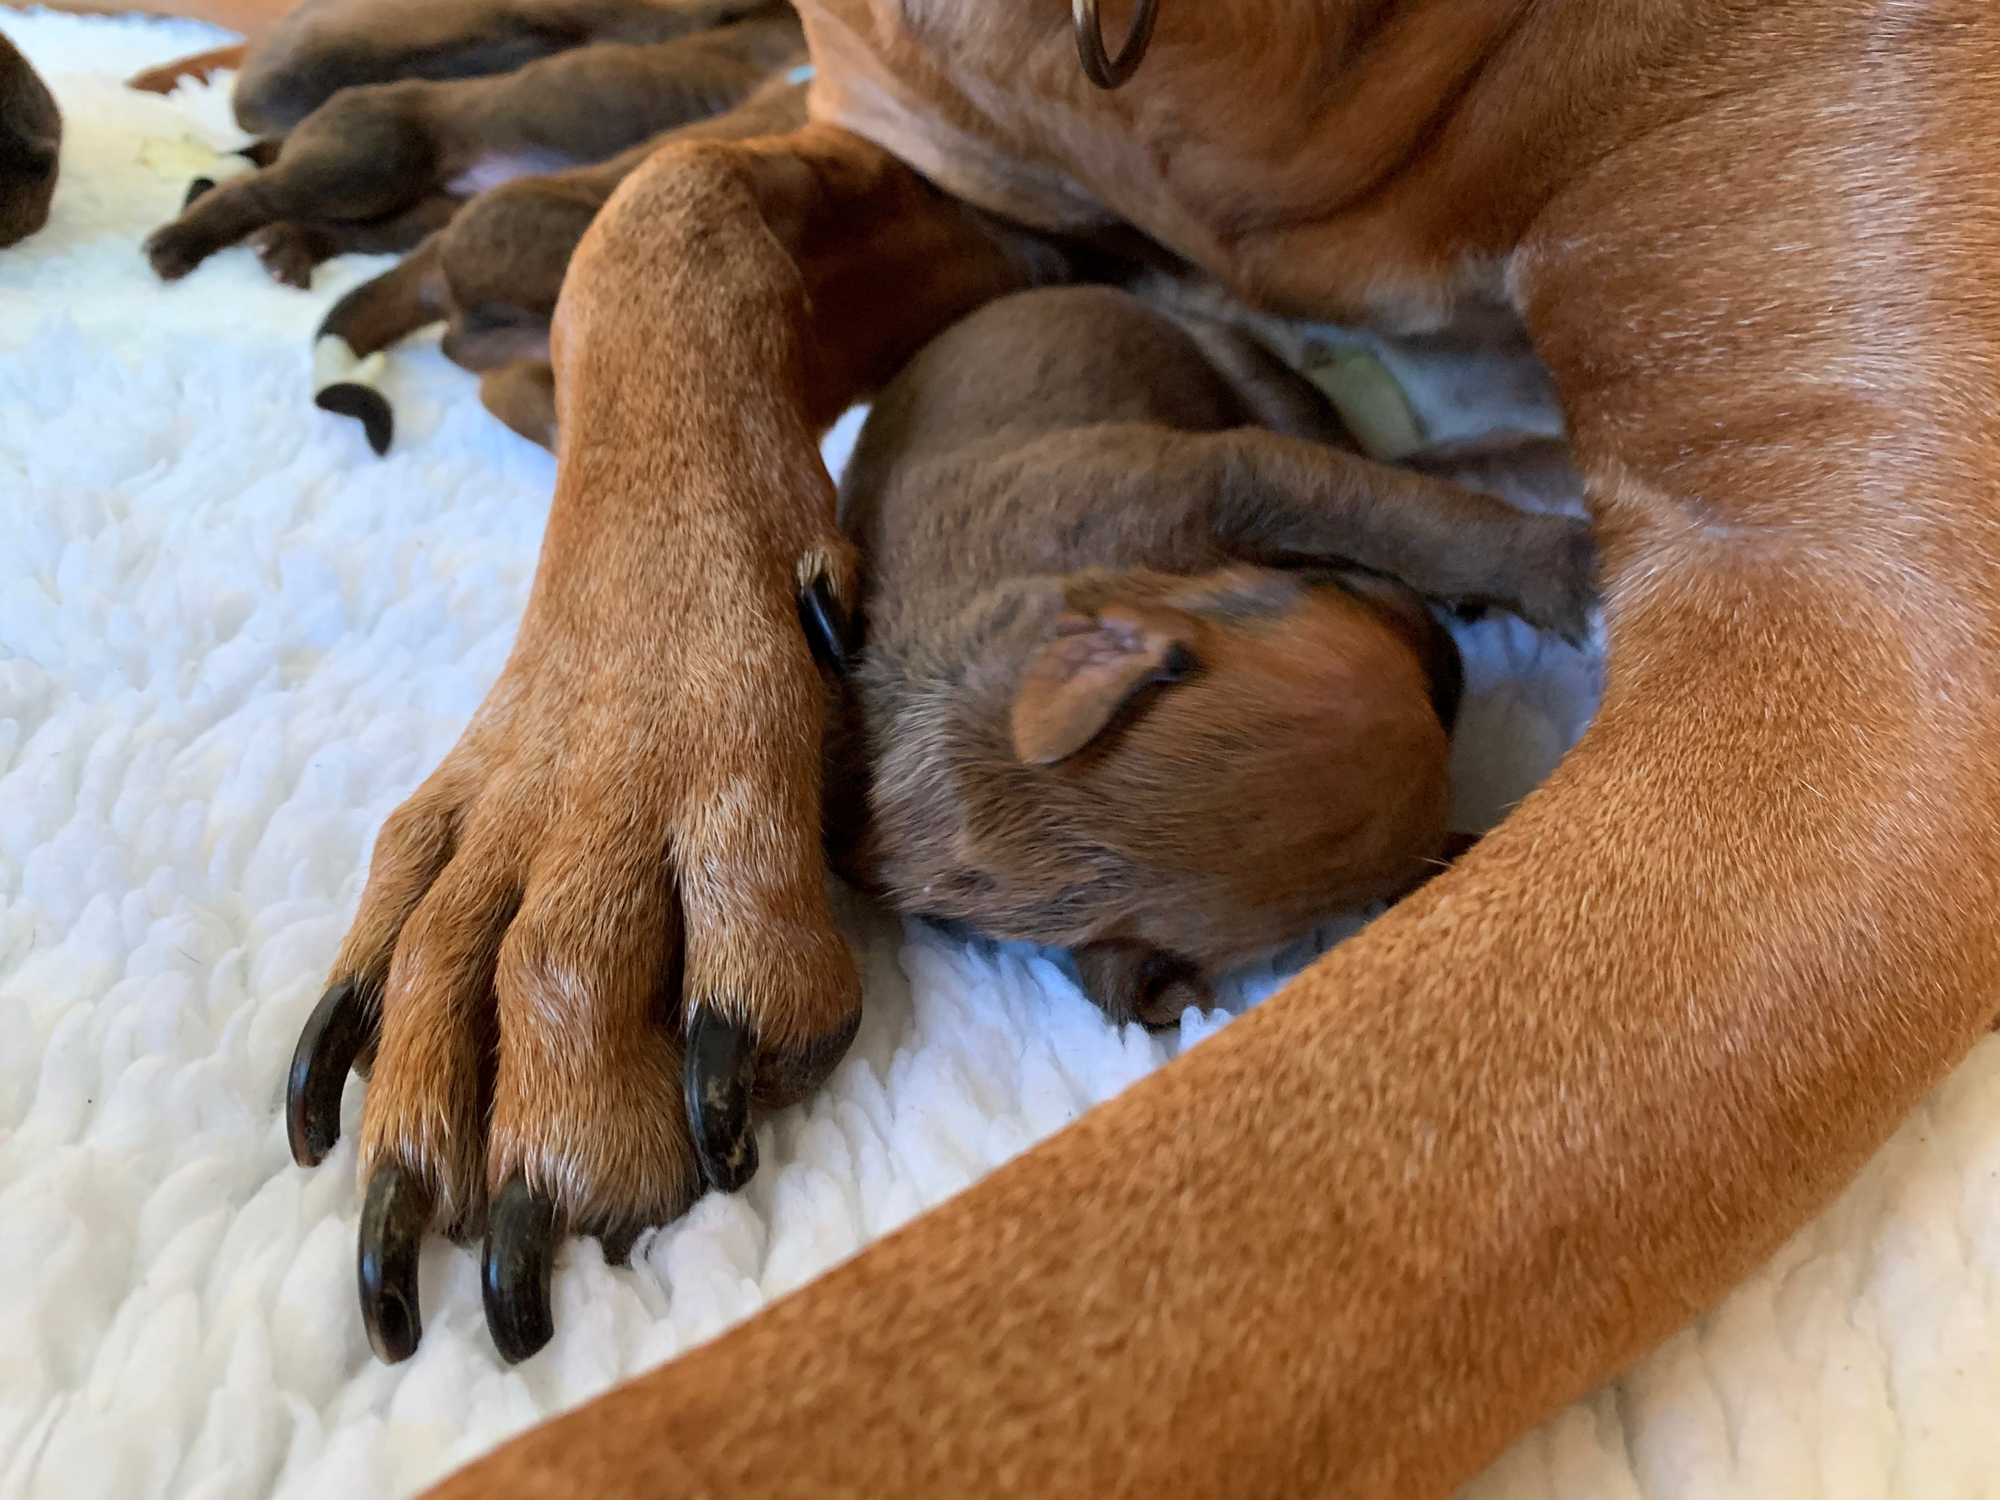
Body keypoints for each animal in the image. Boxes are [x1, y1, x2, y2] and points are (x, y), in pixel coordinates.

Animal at [142, 0, 802, 287]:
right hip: (364, 166)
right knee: (249, 193)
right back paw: (180, 243)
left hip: (424, 213)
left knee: (340, 231)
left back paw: (289, 247)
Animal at [823, 284, 1590, 1032]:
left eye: (1320, 589)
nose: (1455, 668)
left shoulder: (1236, 477)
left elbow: (1409, 518)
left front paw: (1558, 569)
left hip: (1246, 371)